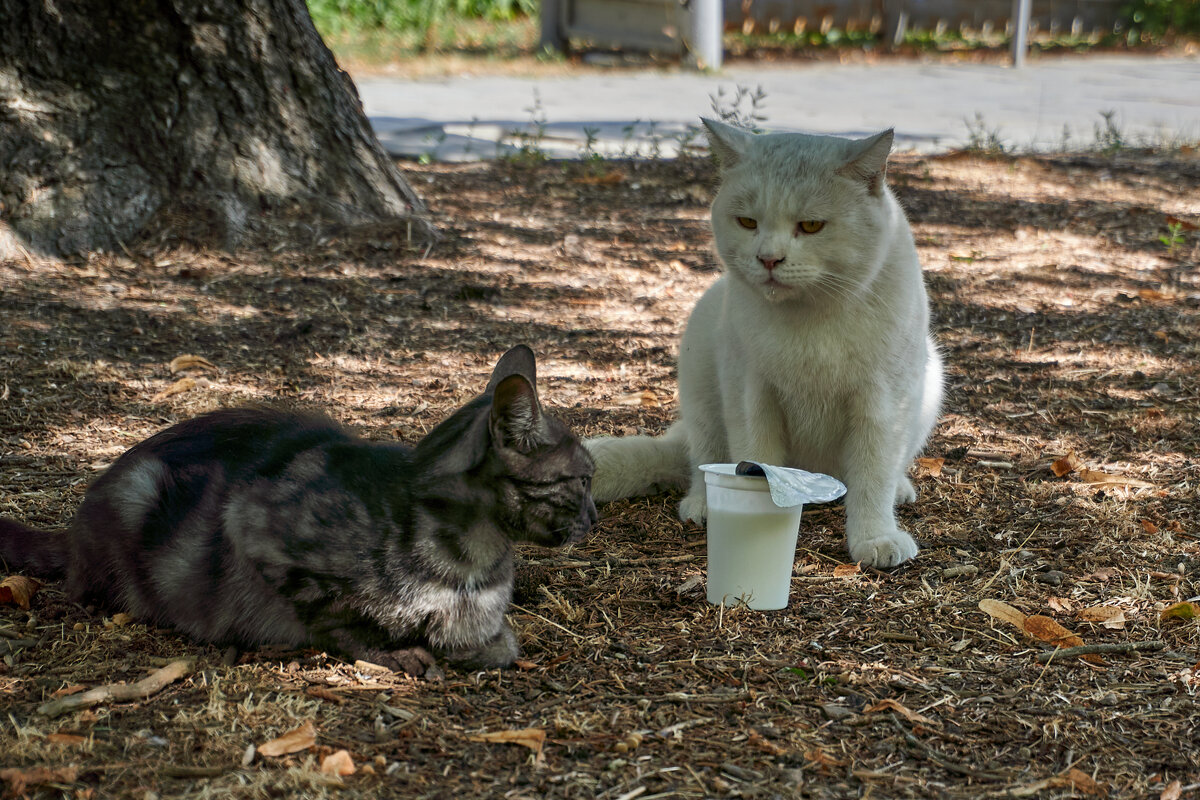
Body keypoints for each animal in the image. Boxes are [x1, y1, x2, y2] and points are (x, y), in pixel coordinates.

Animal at [0, 345, 595, 676]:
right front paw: (391, 650)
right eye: (585, 478)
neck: (474, 556)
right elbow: (335, 615)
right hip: (141, 493)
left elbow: (498, 644)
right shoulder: (254, 524)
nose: (594, 518)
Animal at [585, 118, 940, 568]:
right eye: (748, 223)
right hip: (701, 371)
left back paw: (900, 490)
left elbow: (874, 477)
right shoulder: (752, 397)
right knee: (701, 461)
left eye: (811, 226)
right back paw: (702, 504)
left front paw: (875, 538)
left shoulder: (884, 406)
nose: (768, 259)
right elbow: (755, 463)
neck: (810, 316)